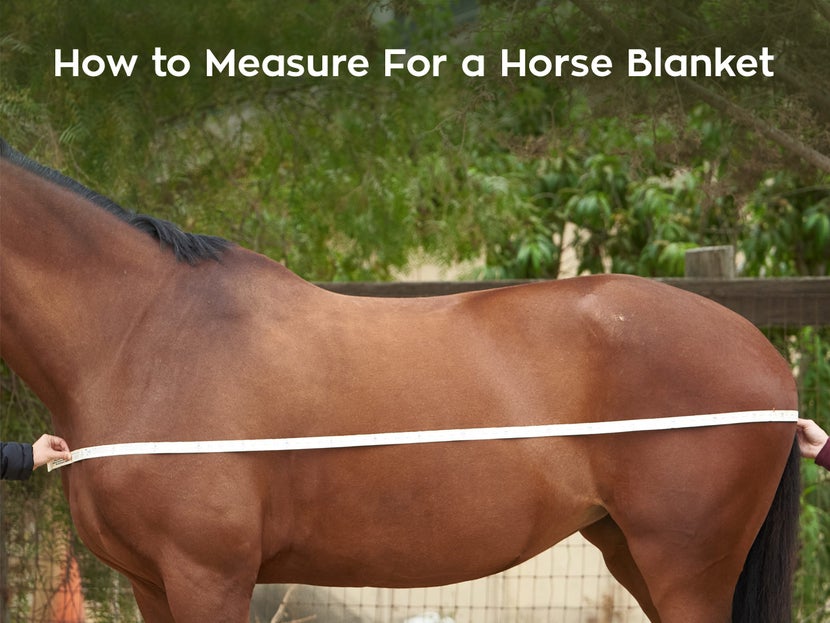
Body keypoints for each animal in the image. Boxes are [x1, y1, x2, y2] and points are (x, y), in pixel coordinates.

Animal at [0, 138, 800, 623]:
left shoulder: (209, 575)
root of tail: (762, 354)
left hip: (684, 565)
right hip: (632, 550)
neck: (143, 335)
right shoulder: (151, 582)